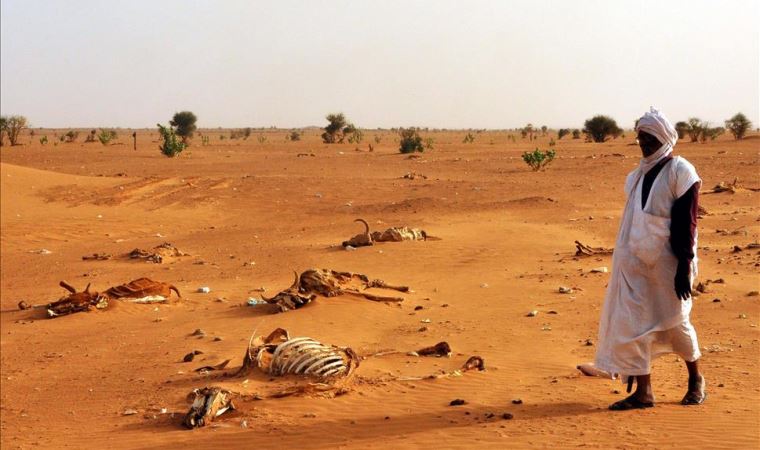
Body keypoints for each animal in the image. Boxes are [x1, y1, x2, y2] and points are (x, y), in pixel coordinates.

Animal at [264, 268, 412, 312]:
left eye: (290, 294)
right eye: (279, 300)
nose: (282, 308)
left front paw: (398, 298)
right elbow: (372, 295)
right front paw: (397, 299)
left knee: (373, 282)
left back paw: (404, 289)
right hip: (356, 285)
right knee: (373, 283)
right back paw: (404, 289)